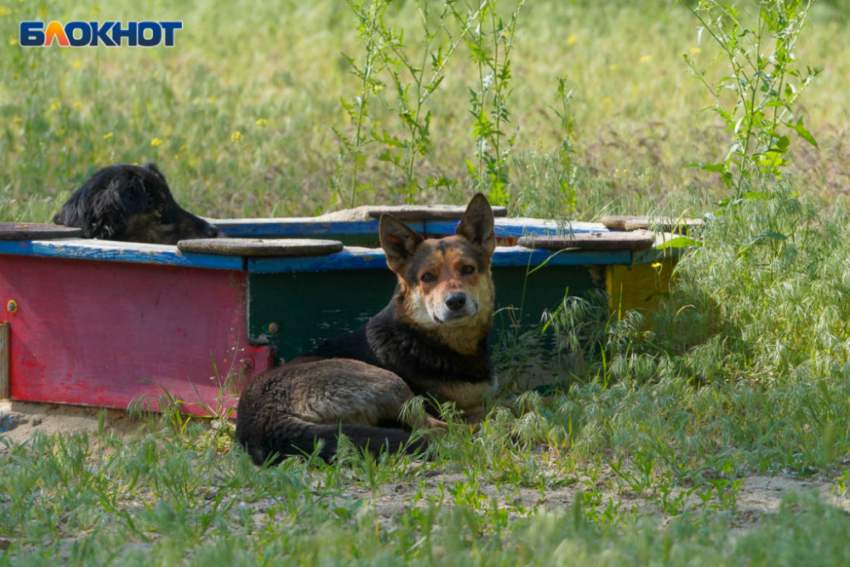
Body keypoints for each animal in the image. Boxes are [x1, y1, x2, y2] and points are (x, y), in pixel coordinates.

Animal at [234, 193, 496, 464]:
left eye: (468, 269)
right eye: (427, 277)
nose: (455, 301)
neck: (421, 335)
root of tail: (261, 418)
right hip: (389, 381)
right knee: (438, 430)